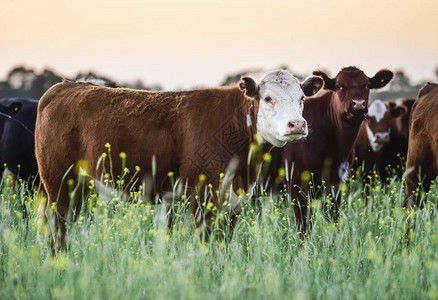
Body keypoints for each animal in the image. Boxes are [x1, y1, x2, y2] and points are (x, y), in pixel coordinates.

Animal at [36, 70, 324, 246]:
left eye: (301, 98)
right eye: (267, 98)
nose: (297, 124)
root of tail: (65, 86)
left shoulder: (233, 202)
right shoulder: (201, 197)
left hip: (79, 187)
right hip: (59, 184)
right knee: (58, 225)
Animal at [266, 66, 394, 234]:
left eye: (367, 85)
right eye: (339, 86)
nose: (358, 104)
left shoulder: (335, 185)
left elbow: (333, 220)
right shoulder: (297, 185)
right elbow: (304, 226)